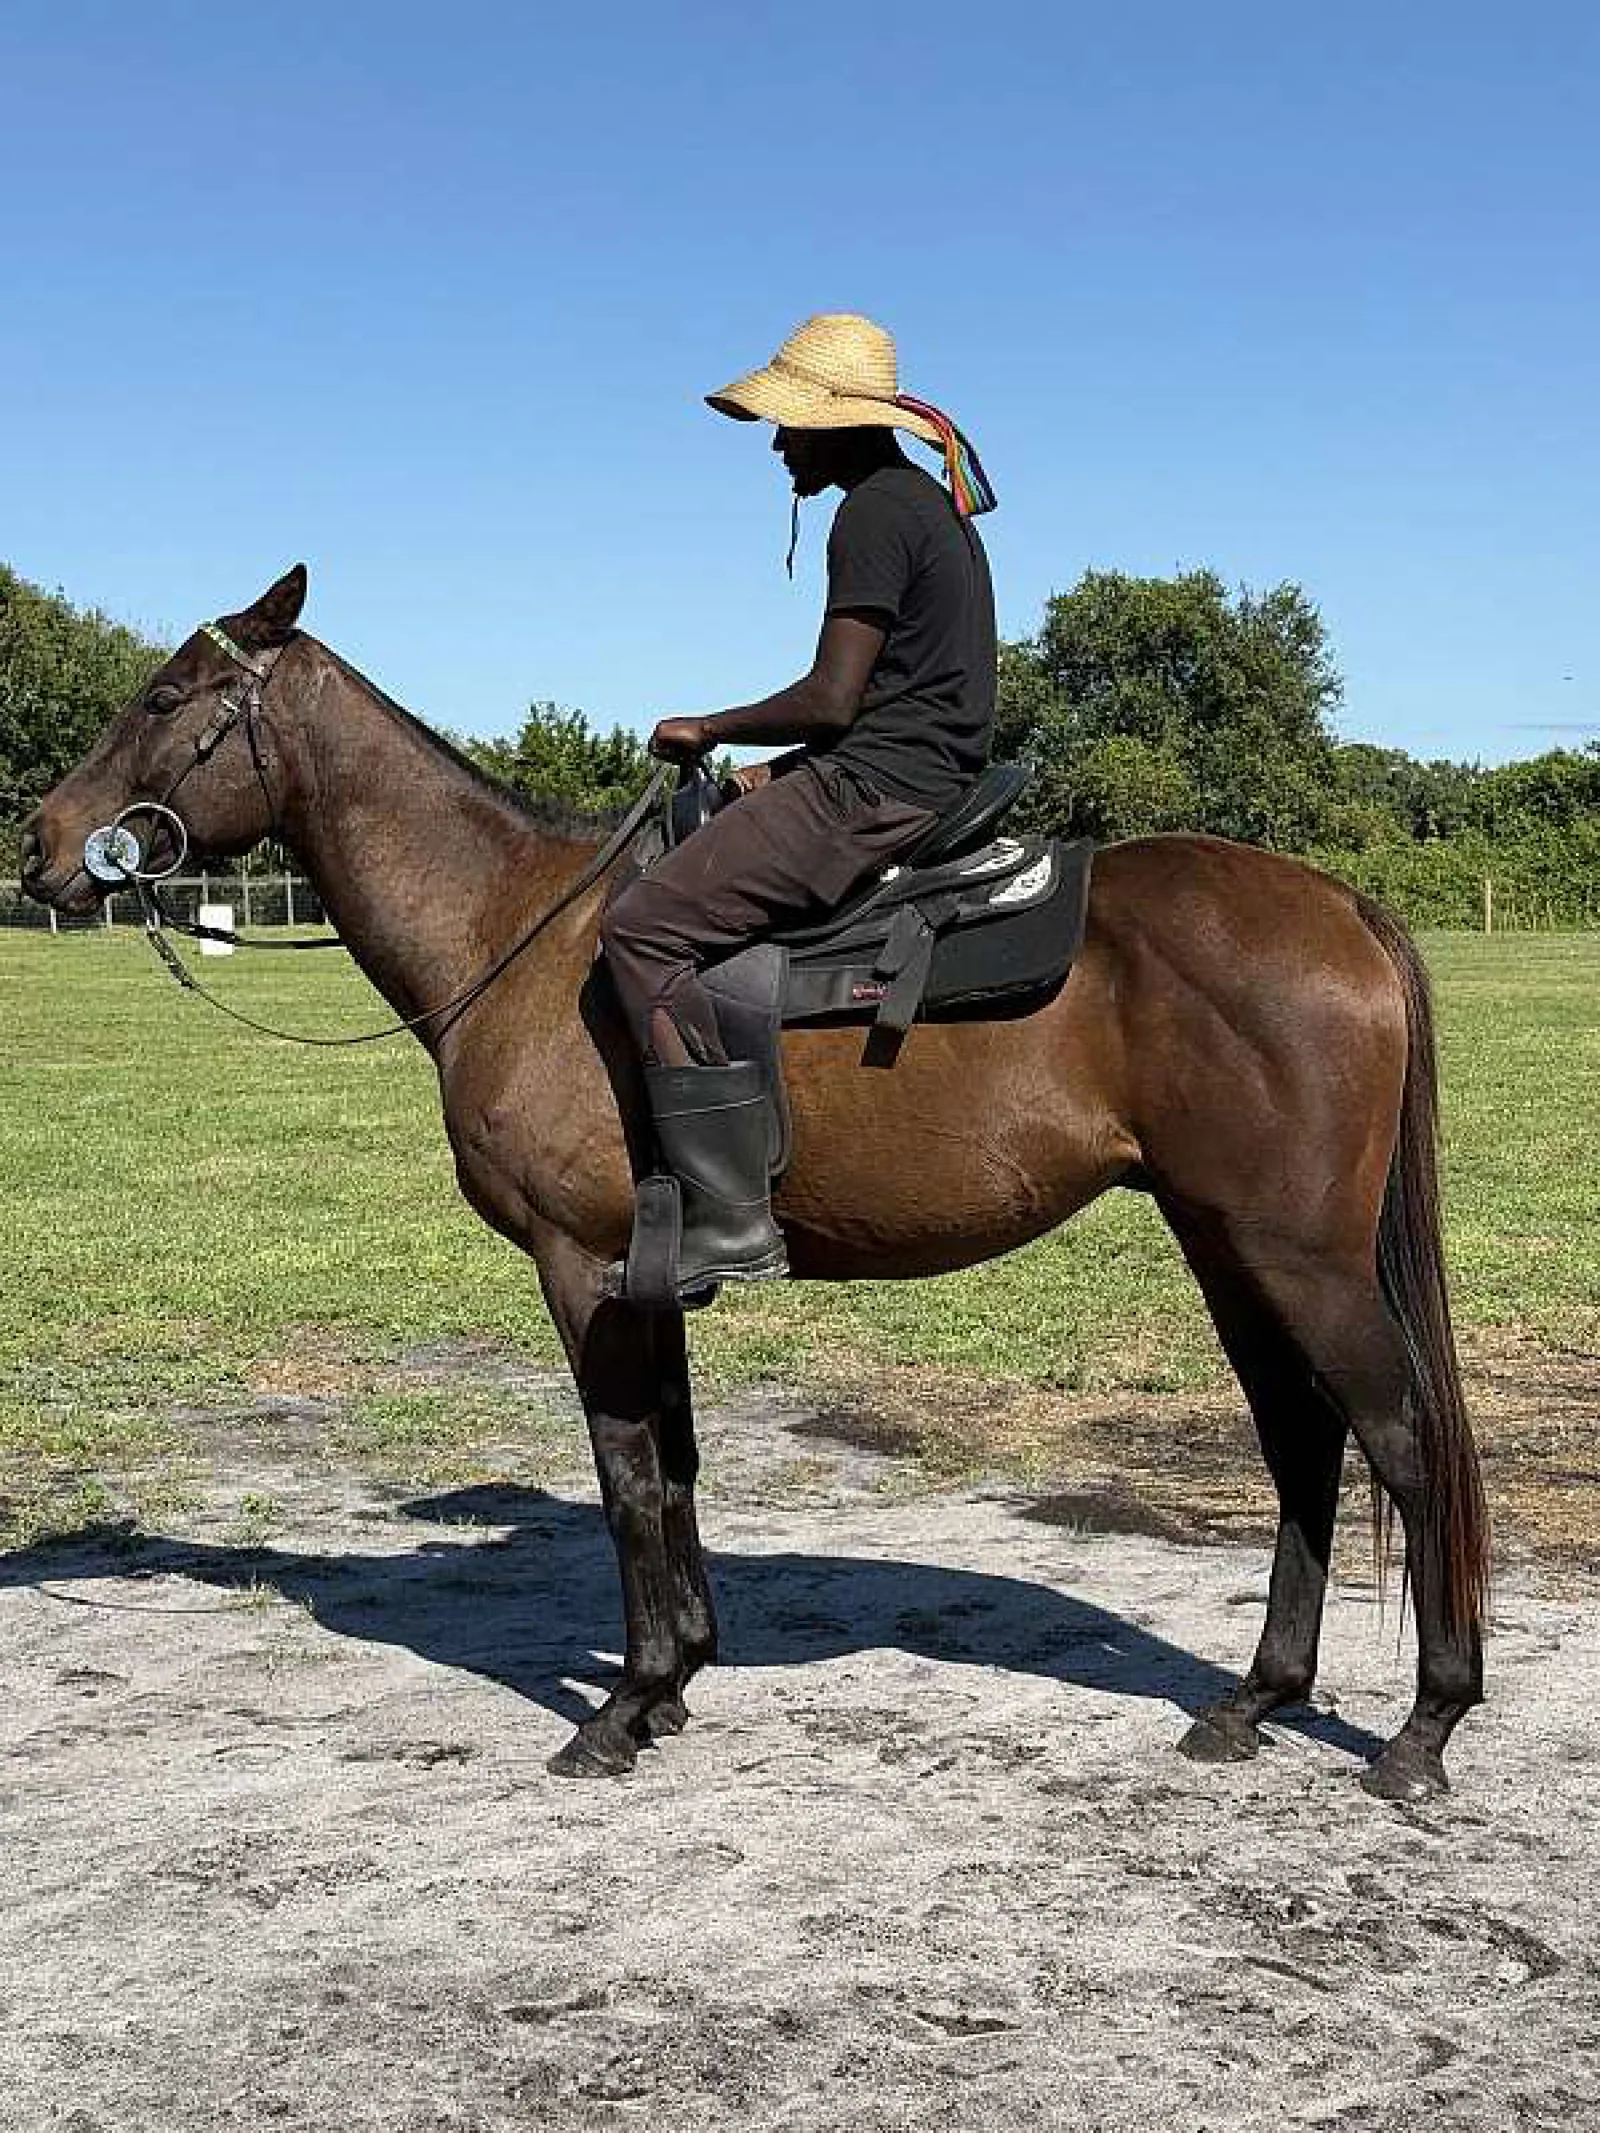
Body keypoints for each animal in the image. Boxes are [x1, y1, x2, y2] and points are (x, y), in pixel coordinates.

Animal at [18, 566, 1489, 1797]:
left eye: (164, 698)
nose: (40, 843)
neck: (519, 931)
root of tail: (1341, 907)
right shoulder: (649, 1274)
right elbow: (672, 1461)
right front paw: (678, 1679)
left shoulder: (581, 1266)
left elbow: (625, 1473)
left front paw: (625, 1706)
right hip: (1225, 1244)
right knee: (1301, 1440)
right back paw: (1256, 1700)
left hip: (1296, 1255)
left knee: (1402, 1435)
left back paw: (1424, 1728)